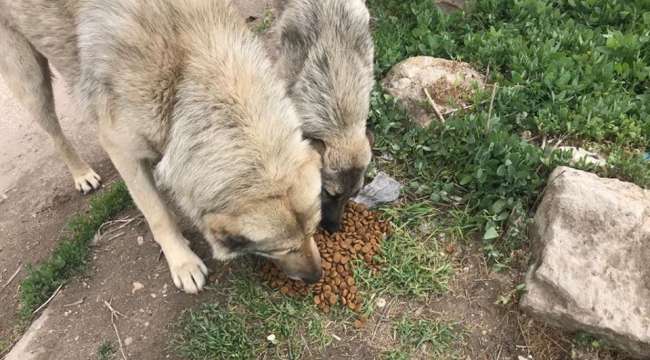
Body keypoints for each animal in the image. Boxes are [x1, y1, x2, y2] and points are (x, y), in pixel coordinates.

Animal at [0, 0, 322, 292]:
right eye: (281, 249)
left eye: (312, 231)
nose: (316, 277)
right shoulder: (122, 152)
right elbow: (158, 214)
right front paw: (183, 262)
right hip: (30, 82)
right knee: (54, 132)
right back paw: (81, 174)